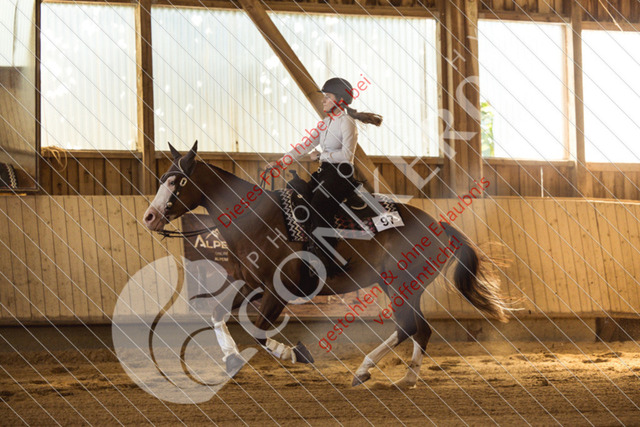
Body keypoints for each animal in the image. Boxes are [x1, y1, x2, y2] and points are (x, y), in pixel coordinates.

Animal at [143, 141, 511, 387]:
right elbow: (218, 313)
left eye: (178, 182)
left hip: (401, 285)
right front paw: (232, 358)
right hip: (407, 287)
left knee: (408, 326)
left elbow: (260, 330)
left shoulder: (279, 291)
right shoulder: (250, 284)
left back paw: (363, 370)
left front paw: (295, 354)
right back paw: (406, 379)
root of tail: (438, 226)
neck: (257, 221)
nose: (149, 216)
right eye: (162, 179)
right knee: (421, 328)